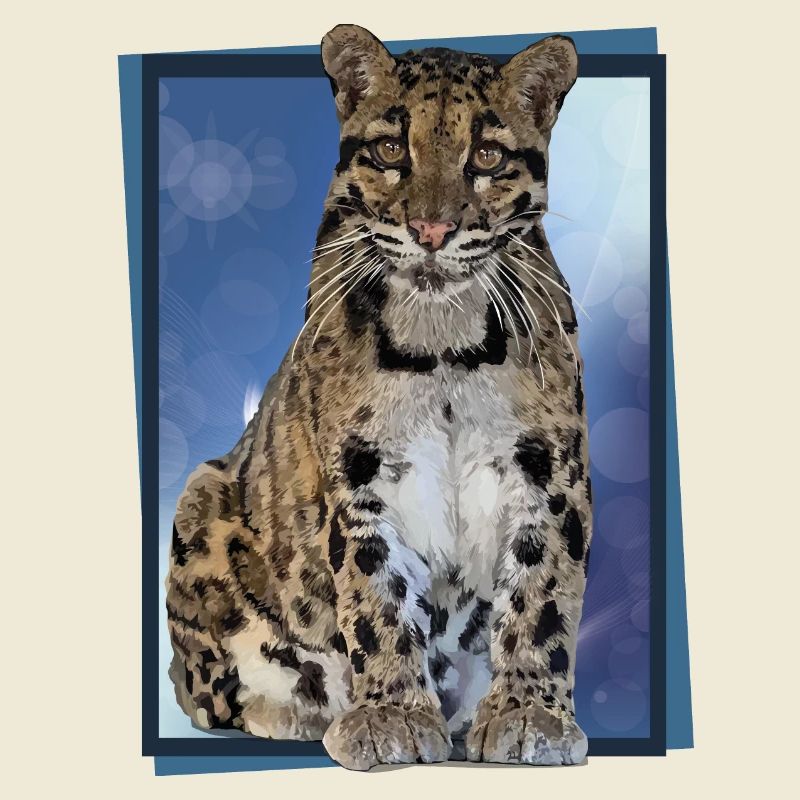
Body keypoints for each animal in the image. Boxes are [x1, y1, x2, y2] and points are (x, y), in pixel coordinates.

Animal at [166, 24, 591, 770]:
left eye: (486, 155)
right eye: (393, 149)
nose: (431, 231)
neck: (444, 343)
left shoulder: (549, 472)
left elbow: (542, 595)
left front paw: (528, 714)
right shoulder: (358, 476)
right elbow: (375, 596)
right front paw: (391, 715)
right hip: (201, 496)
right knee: (207, 692)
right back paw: (300, 710)